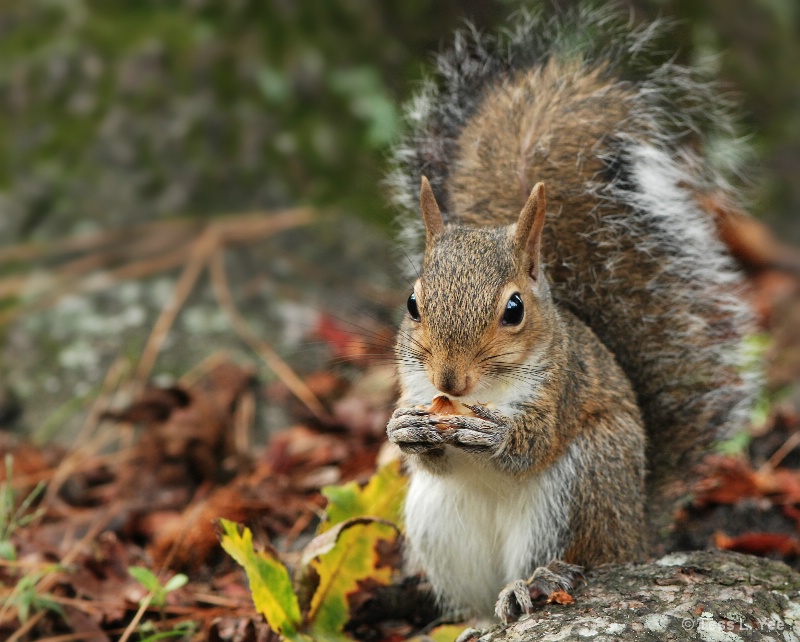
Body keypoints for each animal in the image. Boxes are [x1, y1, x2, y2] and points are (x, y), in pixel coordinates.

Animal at [384, 5, 760, 624]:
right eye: (413, 303)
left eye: (514, 309)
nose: (449, 381)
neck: (483, 393)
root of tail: (636, 537)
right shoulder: (413, 382)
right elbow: (426, 449)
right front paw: (404, 429)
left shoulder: (562, 386)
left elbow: (532, 443)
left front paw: (492, 435)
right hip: (436, 522)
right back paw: (476, 619)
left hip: (580, 487)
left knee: (579, 557)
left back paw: (536, 582)